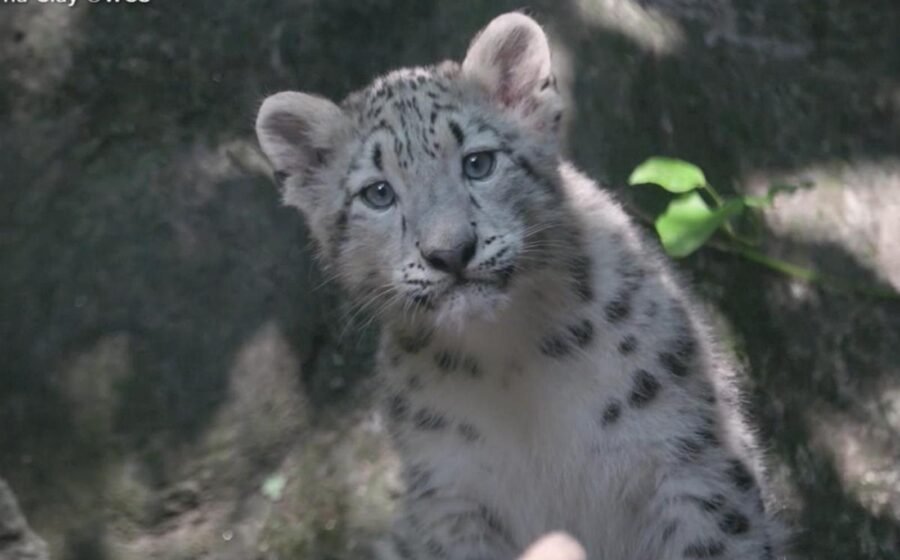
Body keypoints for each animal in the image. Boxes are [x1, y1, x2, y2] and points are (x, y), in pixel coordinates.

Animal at [255, 12, 786, 560]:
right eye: (378, 193)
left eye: (478, 162)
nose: (451, 252)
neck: (511, 360)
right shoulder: (453, 498)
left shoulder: (690, 458)